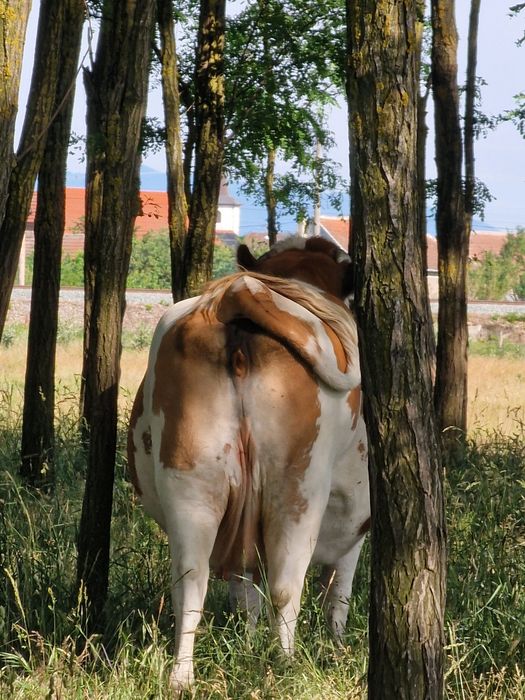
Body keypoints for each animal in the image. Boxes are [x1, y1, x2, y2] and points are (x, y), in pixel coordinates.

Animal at [127, 236, 370, 693]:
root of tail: (237, 295)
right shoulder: (357, 522)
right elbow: (338, 594)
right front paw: (336, 647)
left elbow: (245, 590)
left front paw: (247, 643)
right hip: (299, 486)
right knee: (286, 586)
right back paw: (285, 667)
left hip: (190, 478)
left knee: (191, 583)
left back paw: (182, 677)